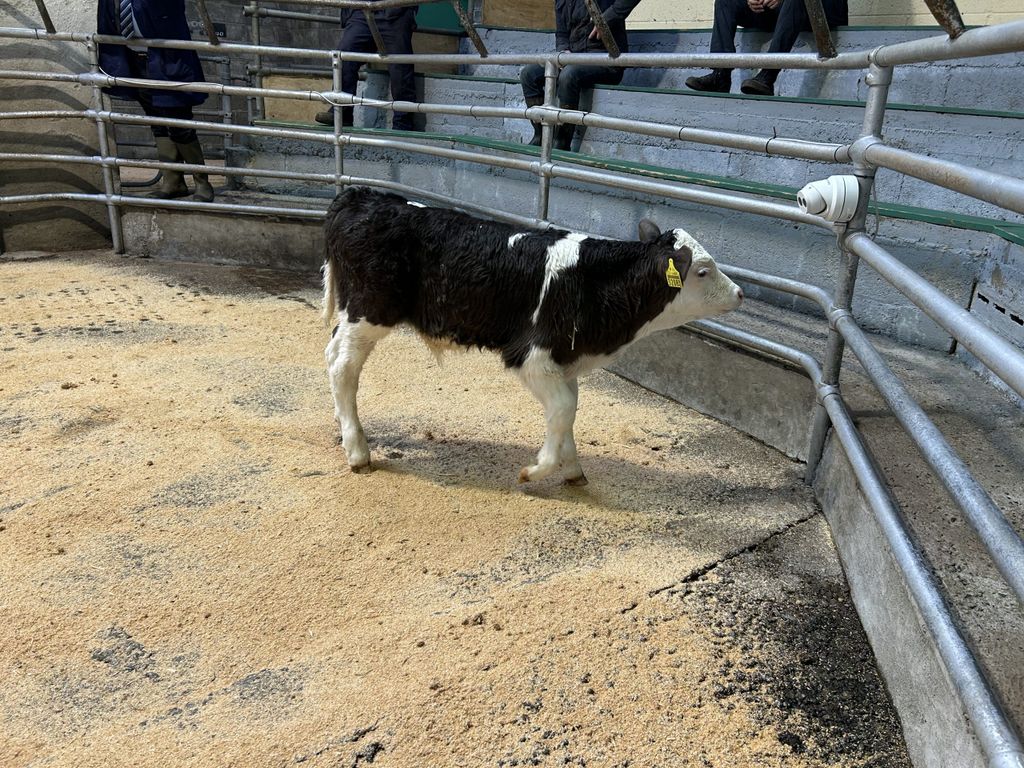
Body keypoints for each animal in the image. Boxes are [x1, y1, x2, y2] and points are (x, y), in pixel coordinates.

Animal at [322, 186, 743, 485]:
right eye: (703, 271)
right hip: (370, 312)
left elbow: (568, 412)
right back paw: (358, 452)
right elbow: (563, 409)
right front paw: (538, 469)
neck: (594, 281)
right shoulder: (531, 356)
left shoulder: (564, 360)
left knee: (331, 354)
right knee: (343, 367)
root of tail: (360, 196)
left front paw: (572, 470)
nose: (740, 293)